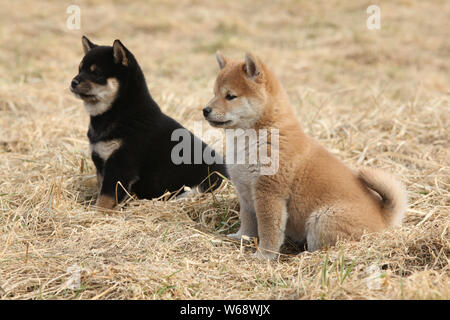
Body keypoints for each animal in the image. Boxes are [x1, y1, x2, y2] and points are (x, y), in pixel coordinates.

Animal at [71, 36, 229, 209]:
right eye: (79, 70)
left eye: (96, 73)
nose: (73, 82)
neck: (120, 112)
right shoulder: (102, 163)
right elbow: (103, 191)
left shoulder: (120, 164)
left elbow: (106, 197)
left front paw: (99, 212)